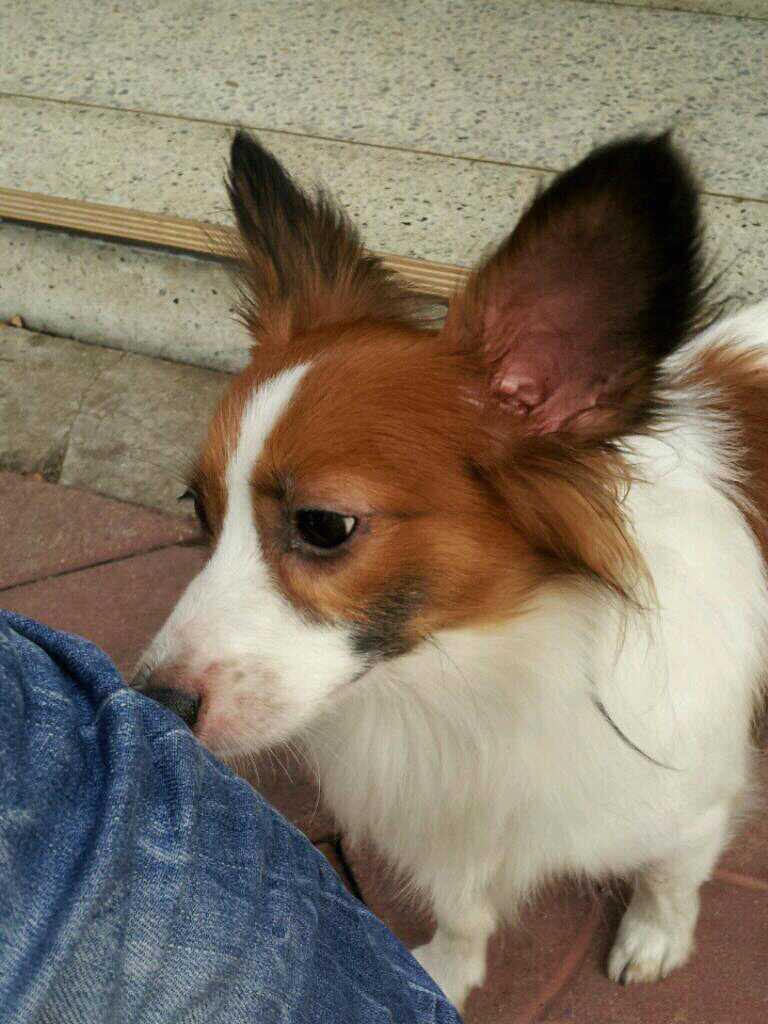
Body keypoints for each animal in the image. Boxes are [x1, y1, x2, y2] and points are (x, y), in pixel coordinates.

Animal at [132, 129, 768, 1010]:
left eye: (324, 525)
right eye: (198, 508)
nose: (151, 700)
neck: (464, 670)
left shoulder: (691, 807)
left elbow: (671, 878)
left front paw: (656, 937)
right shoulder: (453, 824)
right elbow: (464, 909)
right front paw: (446, 971)